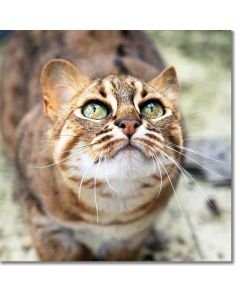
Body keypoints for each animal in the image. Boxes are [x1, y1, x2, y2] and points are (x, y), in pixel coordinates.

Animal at [0, 30, 184, 260]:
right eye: (94, 109)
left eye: (152, 108)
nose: (130, 123)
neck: (111, 205)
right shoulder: (44, 222)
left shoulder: (132, 235)